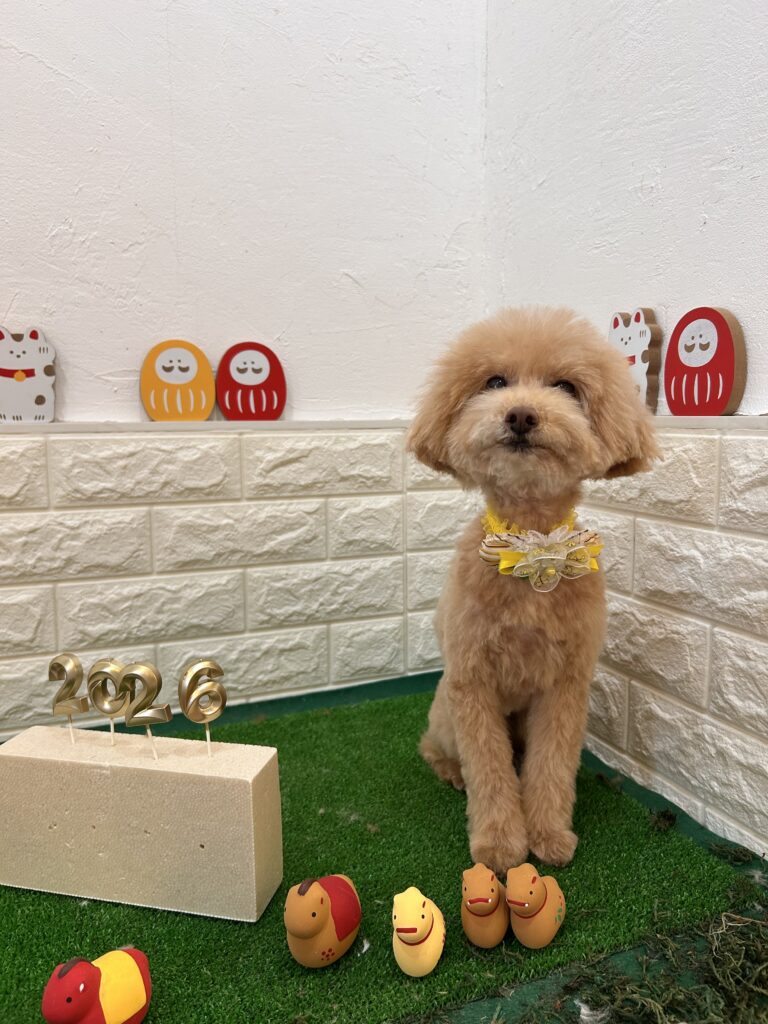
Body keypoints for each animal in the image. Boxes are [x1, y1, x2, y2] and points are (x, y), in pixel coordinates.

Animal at [407, 307, 659, 872]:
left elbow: (551, 765)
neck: (531, 546)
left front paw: (548, 834)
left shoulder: (565, 685)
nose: (521, 415)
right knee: (433, 745)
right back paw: (450, 772)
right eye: (495, 382)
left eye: (565, 386)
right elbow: (489, 769)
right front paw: (500, 844)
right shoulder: (472, 682)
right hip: (446, 710)